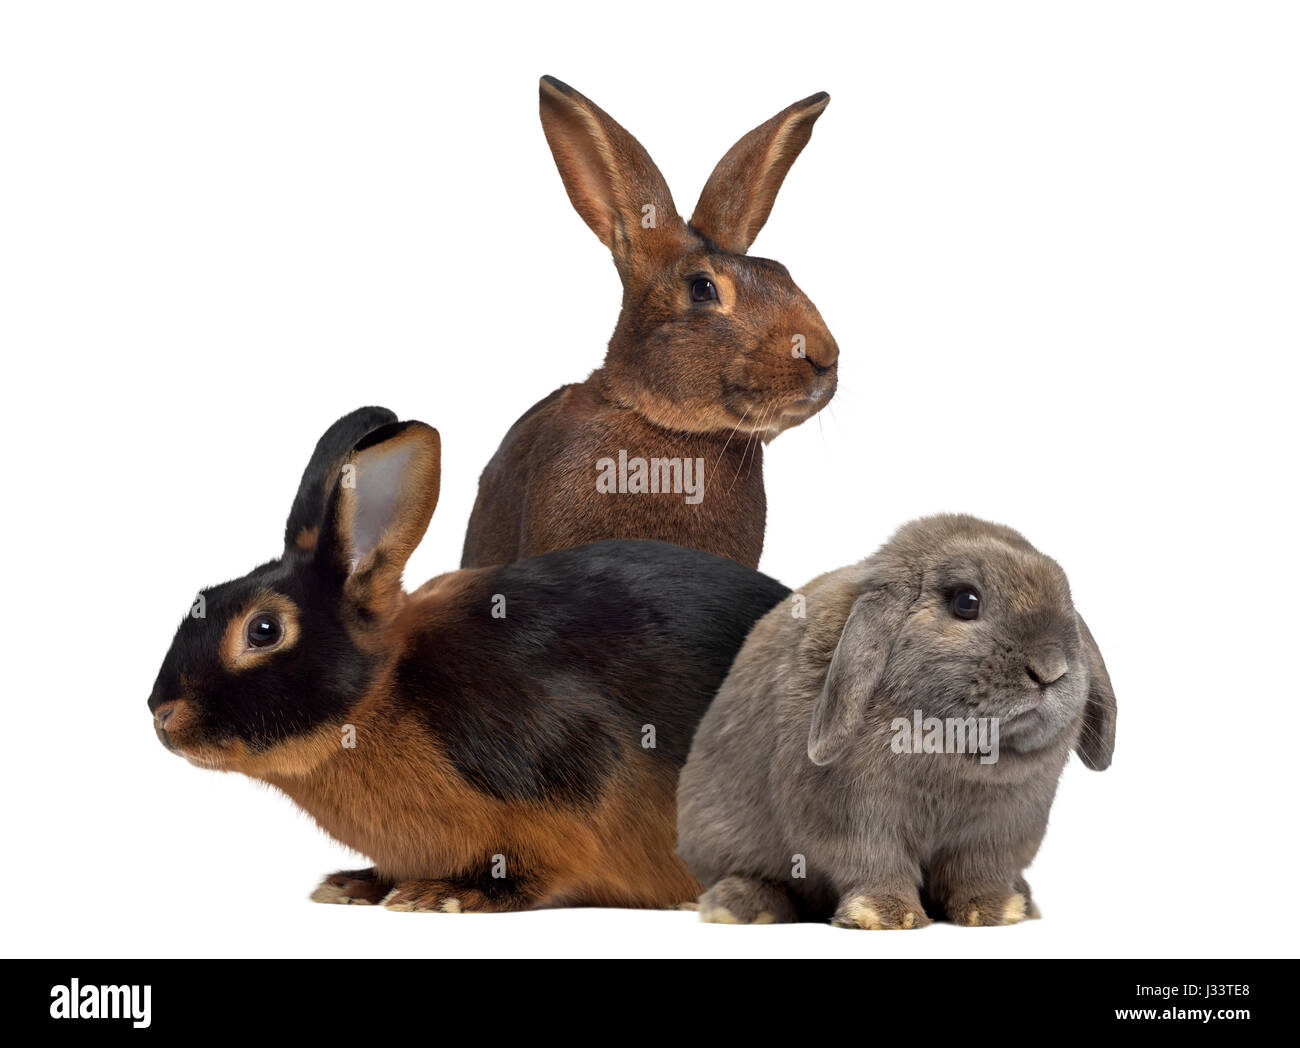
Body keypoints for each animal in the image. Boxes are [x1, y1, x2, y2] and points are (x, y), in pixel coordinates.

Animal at [676, 514, 1117, 929]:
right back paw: (740, 906)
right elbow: (874, 862)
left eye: (1066, 601)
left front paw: (996, 911)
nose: (1050, 668)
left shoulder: (999, 830)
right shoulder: (857, 817)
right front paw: (885, 916)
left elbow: (979, 872)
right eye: (966, 601)